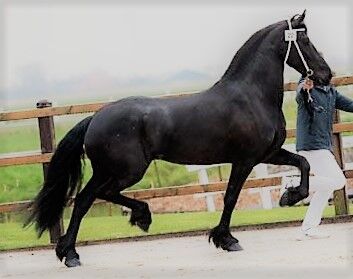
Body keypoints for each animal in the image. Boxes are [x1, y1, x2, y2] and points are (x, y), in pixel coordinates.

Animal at [25, 11, 330, 270]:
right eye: (304, 40)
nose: (326, 74)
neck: (251, 96)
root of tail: (95, 118)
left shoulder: (268, 153)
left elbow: (302, 163)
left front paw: (289, 197)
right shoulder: (245, 160)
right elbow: (231, 197)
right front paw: (226, 239)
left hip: (112, 171)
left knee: (88, 198)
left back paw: (75, 248)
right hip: (126, 171)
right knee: (90, 198)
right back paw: (91, 244)